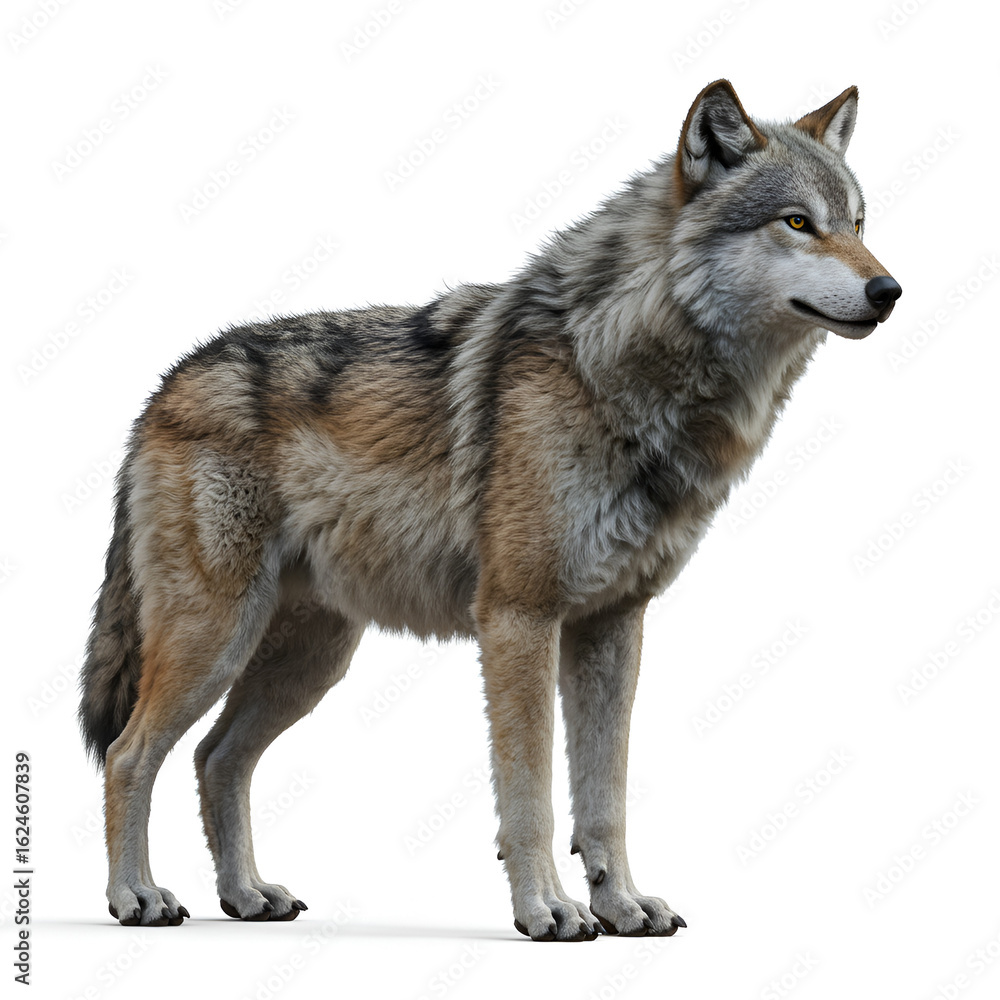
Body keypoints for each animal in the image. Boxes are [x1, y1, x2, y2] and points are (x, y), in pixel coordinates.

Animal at [79, 80, 900, 941]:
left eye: (858, 223)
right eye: (798, 222)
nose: (889, 290)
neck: (619, 372)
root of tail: (163, 386)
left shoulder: (614, 625)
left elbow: (604, 799)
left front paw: (622, 905)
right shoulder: (517, 618)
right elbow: (531, 795)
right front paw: (548, 909)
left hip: (309, 662)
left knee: (216, 759)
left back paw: (246, 895)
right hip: (216, 639)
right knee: (131, 754)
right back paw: (136, 896)